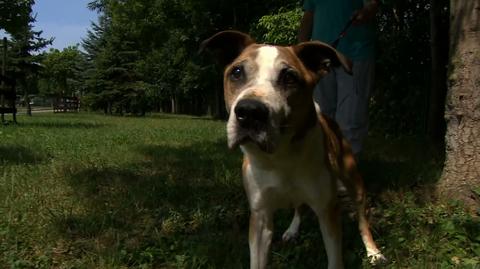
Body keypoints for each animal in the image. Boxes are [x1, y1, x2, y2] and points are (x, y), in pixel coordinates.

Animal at [201, 30, 384, 266]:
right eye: (237, 72)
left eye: (289, 77)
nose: (250, 112)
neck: (280, 156)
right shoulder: (260, 217)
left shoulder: (327, 211)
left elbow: (335, 258)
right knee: (299, 205)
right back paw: (292, 230)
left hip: (354, 180)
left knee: (362, 217)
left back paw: (373, 251)